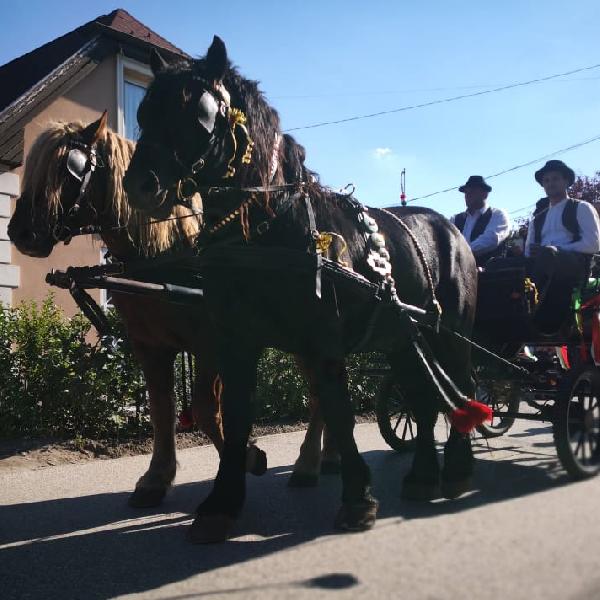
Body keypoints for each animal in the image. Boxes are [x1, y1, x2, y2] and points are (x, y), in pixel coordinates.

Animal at [7, 113, 338, 506]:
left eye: (68, 168)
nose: (20, 233)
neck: (166, 253)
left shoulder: (212, 342)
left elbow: (206, 410)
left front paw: (247, 458)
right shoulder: (150, 345)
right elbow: (162, 409)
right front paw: (156, 479)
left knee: (319, 392)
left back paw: (308, 463)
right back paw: (327, 458)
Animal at [124, 37, 480, 544]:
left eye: (199, 112)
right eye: (145, 112)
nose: (140, 185)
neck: (272, 230)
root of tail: (451, 230)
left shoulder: (324, 345)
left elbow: (339, 413)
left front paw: (356, 499)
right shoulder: (236, 342)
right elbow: (236, 416)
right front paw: (221, 504)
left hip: (451, 337)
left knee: (460, 388)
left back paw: (457, 472)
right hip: (402, 341)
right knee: (422, 399)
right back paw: (423, 476)